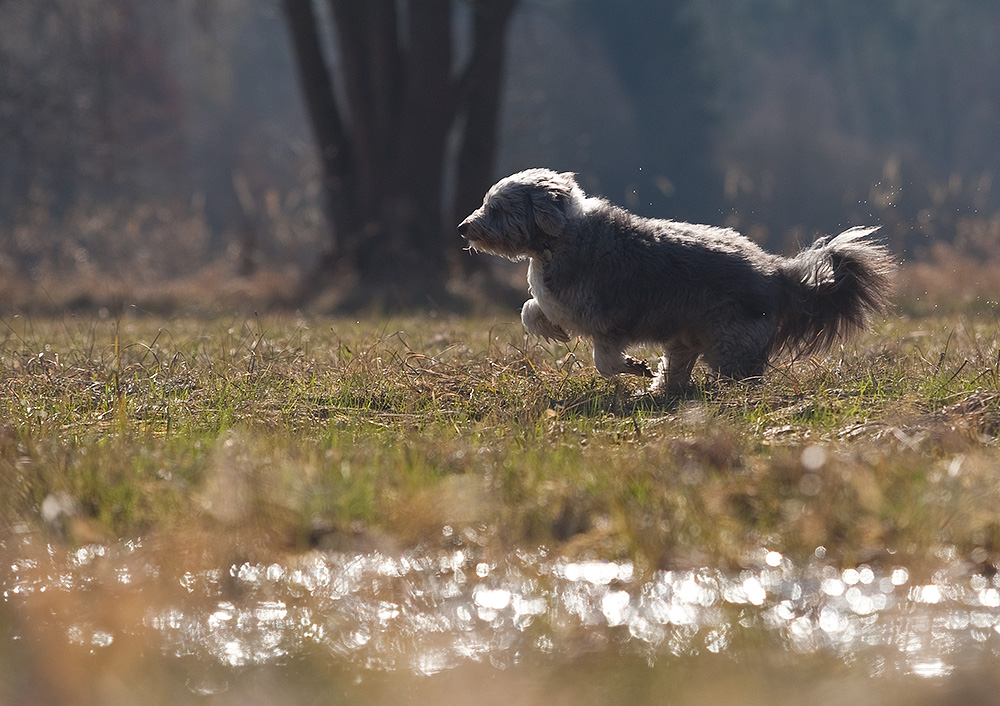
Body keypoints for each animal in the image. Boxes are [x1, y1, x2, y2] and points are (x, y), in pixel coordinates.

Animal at [458, 168, 896, 394]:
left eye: (496, 208)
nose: (463, 228)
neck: (560, 239)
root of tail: (775, 272)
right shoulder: (559, 303)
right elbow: (530, 310)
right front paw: (555, 332)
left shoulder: (609, 323)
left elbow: (605, 362)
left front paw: (634, 366)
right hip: (686, 338)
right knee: (678, 368)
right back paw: (661, 391)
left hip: (729, 343)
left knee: (744, 376)